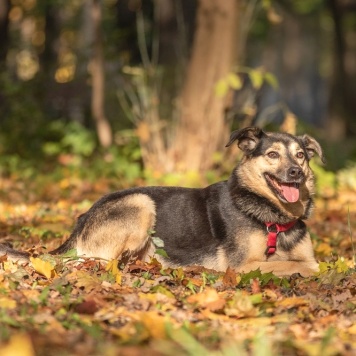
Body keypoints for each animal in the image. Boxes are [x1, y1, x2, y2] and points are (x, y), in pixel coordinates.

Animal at [0, 126, 324, 276]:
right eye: (272, 154)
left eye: (300, 155)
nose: (296, 172)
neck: (273, 217)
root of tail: (82, 221)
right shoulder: (243, 266)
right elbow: (308, 265)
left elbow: (307, 261)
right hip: (140, 202)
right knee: (98, 262)